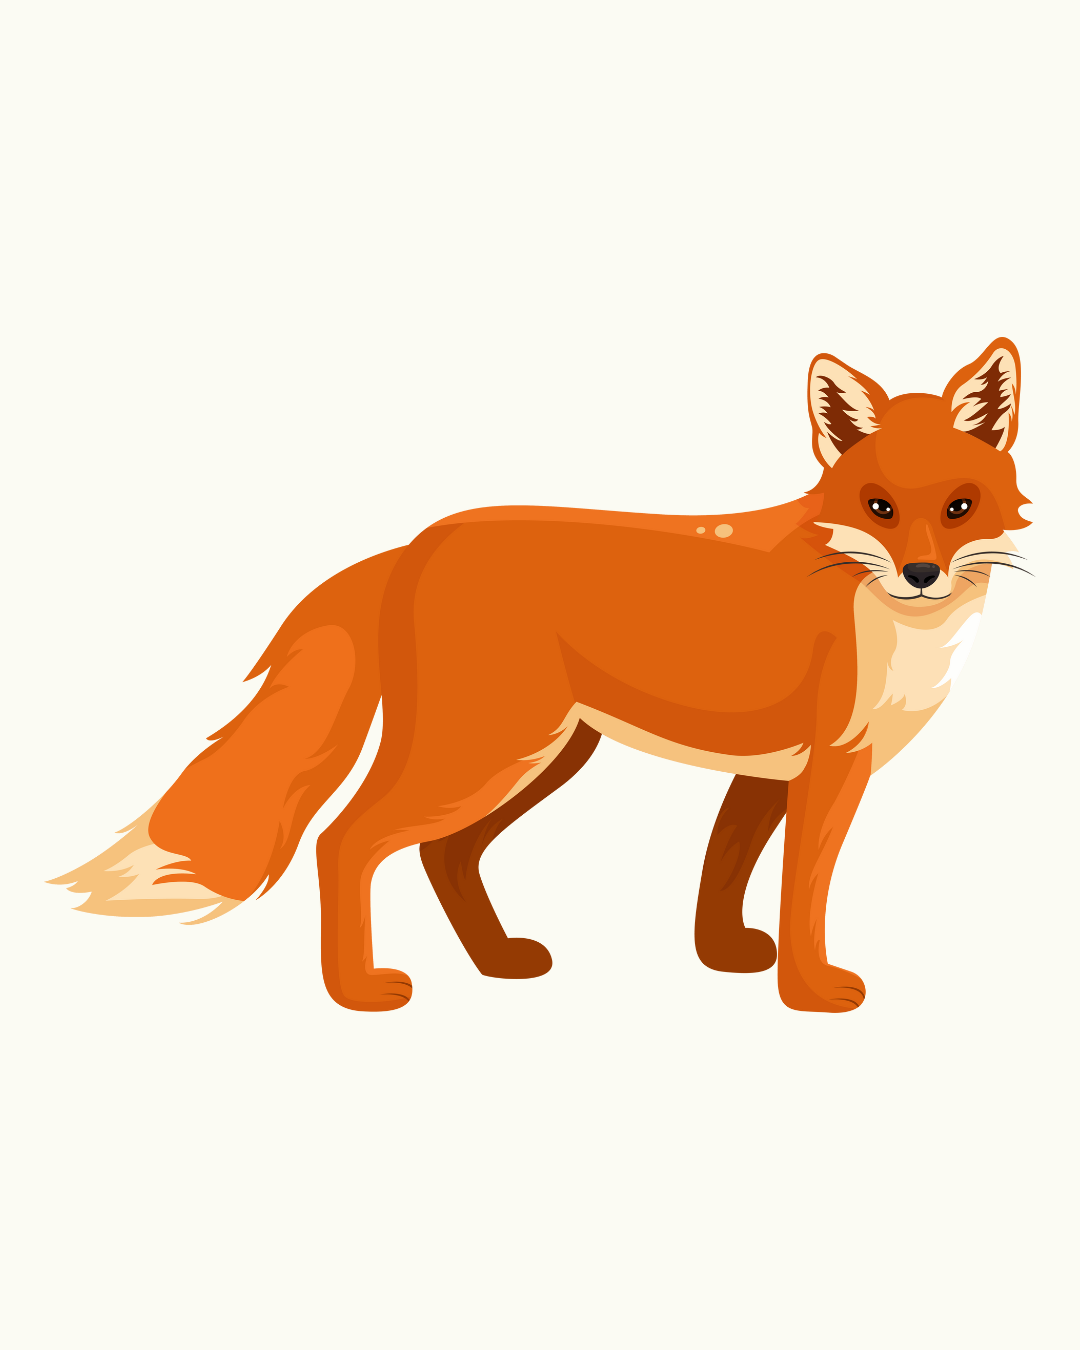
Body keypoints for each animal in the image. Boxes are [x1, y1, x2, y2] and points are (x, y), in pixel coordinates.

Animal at [52, 339, 1030, 1014]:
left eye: (959, 507)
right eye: (879, 507)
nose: (921, 574)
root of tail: (414, 545)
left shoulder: (768, 769)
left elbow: (724, 870)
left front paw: (724, 958)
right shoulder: (831, 766)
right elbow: (805, 895)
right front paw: (810, 992)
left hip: (542, 756)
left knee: (443, 853)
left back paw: (497, 963)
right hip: (490, 751)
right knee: (344, 842)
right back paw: (358, 991)